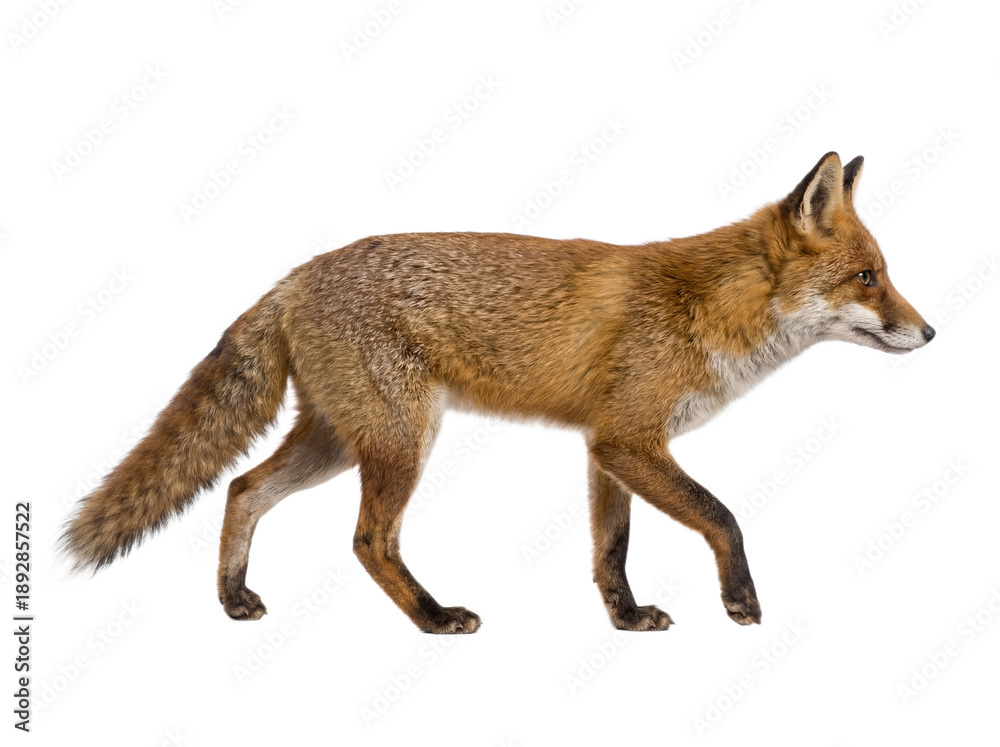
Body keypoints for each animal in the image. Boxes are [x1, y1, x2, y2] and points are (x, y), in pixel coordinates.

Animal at [61, 151, 934, 634]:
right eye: (868, 277)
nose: (929, 333)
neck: (709, 307)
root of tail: (298, 274)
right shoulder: (630, 439)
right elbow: (721, 514)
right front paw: (741, 600)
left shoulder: (607, 448)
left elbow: (610, 550)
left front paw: (625, 618)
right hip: (400, 442)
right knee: (366, 540)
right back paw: (433, 617)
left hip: (337, 441)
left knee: (242, 488)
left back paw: (233, 596)